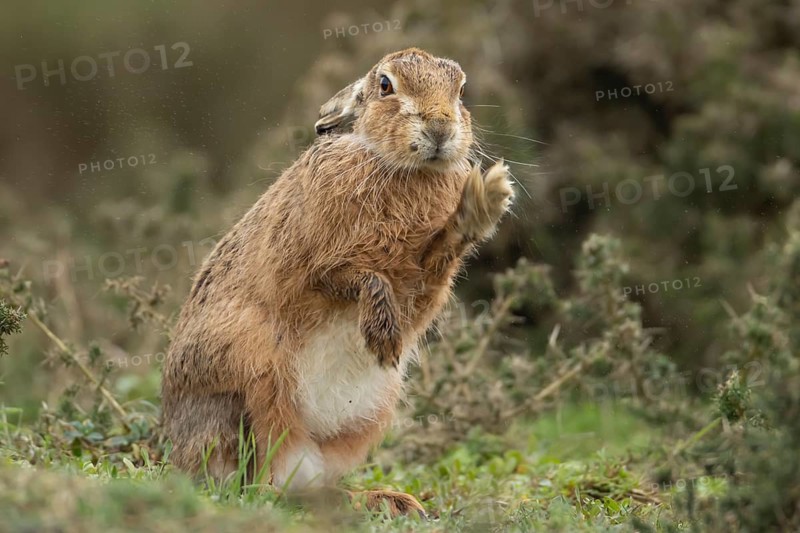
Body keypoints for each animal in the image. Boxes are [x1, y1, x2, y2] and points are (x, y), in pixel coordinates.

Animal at [161, 47, 514, 516]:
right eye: (385, 85)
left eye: (460, 90)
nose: (440, 128)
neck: (399, 167)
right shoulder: (313, 269)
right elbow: (362, 278)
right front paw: (382, 336)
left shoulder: (422, 285)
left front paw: (487, 198)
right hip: (252, 383)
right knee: (257, 481)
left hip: (360, 420)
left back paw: (384, 500)